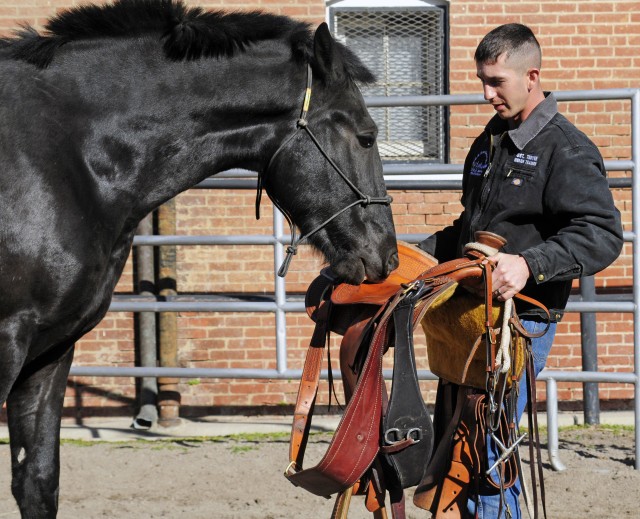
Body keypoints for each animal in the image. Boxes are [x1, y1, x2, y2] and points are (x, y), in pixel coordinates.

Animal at [0, 2, 398, 516]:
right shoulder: (7, 341)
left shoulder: (51, 349)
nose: (387, 254)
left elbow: (37, 481)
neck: (63, 156)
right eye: (367, 137)